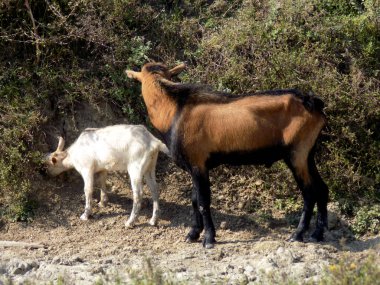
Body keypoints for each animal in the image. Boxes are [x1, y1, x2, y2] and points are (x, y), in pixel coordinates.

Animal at [126, 61, 328, 246]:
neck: (175, 112)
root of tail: (311, 102)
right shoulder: (194, 167)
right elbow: (194, 200)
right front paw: (193, 234)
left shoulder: (198, 164)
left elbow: (203, 201)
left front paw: (208, 238)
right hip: (308, 154)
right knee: (322, 188)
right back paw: (317, 234)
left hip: (296, 155)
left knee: (309, 192)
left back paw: (298, 234)